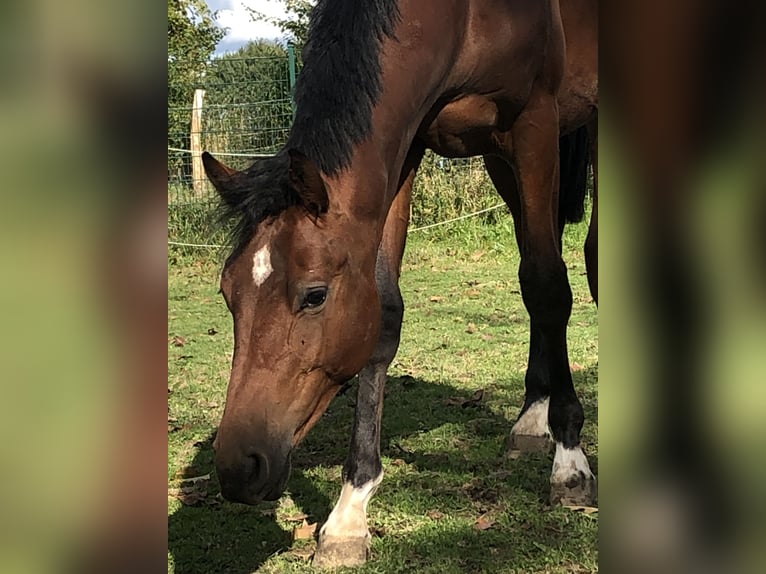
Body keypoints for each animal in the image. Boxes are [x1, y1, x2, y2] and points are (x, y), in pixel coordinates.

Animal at [204, 0, 600, 568]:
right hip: (501, 162)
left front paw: (571, 463)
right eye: (227, 293)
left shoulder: (534, 125)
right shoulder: (406, 146)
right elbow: (385, 315)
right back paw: (531, 415)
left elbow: (548, 287)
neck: (465, 17)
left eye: (315, 295)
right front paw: (349, 513)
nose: (240, 469)